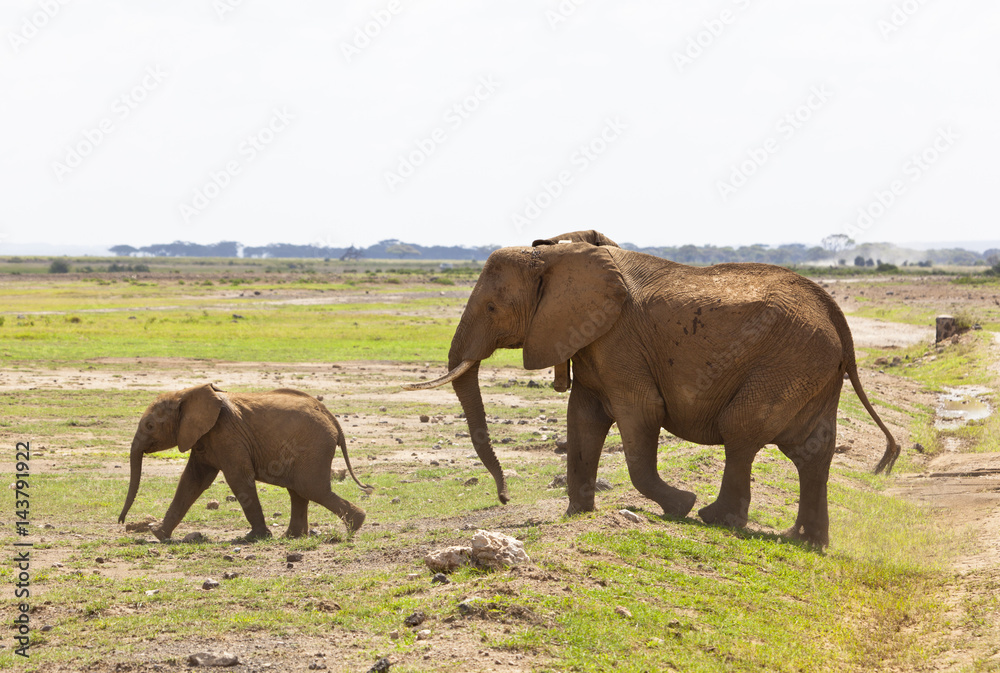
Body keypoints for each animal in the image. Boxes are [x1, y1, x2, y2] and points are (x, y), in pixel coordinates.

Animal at [118, 384, 371, 541]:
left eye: (150, 426)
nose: (121, 522)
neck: (186, 393)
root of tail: (333, 420)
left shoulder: (226, 434)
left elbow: (238, 478)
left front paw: (256, 537)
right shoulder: (204, 436)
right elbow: (192, 481)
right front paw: (158, 534)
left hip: (313, 447)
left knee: (311, 489)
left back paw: (355, 525)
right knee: (299, 491)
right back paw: (291, 537)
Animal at [403, 232, 899, 547]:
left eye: (491, 307)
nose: (505, 497)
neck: (558, 257)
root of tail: (835, 314)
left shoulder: (619, 342)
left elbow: (640, 414)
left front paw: (679, 506)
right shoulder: (592, 342)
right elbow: (582, 419)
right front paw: (577, 515)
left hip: (787, 362)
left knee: (741, 431)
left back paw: (714, 518)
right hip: (811, 370)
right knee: (811, 452)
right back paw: (805, 541)